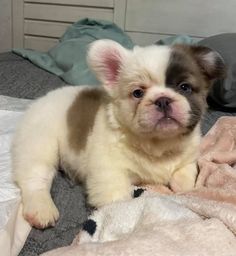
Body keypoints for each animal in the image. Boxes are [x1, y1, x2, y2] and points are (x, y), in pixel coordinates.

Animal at [11, 39, 225, 228]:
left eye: (184, 87)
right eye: (138, 93)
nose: (163, 99)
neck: (156, 143)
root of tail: (39, 101)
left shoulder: (187, 161)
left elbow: (185, 178)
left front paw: (187, 192)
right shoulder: (109, 173)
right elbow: (119, 202)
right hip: (40, 145)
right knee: (35, 179)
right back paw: (41, 209)